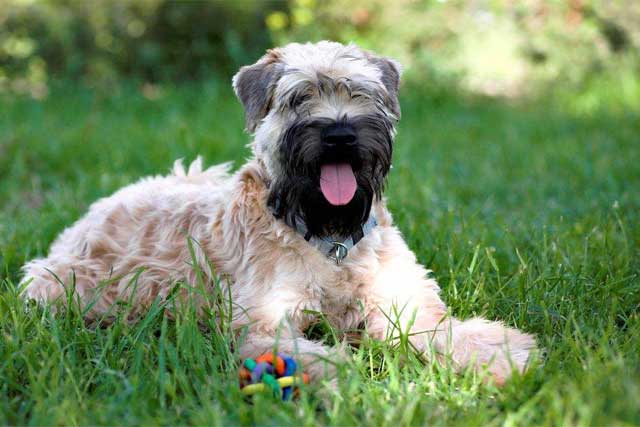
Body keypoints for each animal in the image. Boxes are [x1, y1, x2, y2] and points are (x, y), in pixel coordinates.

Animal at [20, 41, 536, 386]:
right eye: (298, 97)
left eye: (362, 93)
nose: (340, 134)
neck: (330, 238)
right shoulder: (265, 321)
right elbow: (311, 356)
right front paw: (349, 380)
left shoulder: (404, 301)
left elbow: (447, 333)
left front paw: (502, 360)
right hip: (60, 285)